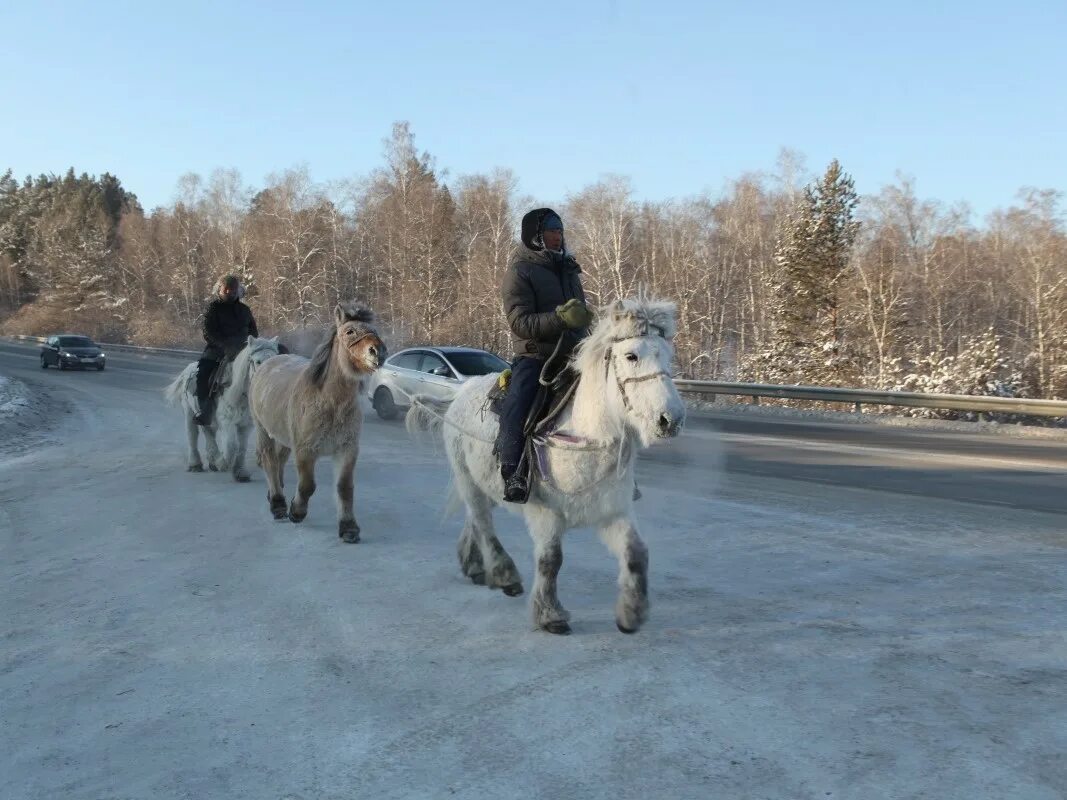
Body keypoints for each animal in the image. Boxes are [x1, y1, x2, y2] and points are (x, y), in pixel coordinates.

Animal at [163, 337, 283, 482]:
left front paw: (240, 472)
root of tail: (188, 369)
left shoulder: (246, 425)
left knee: (209, 433)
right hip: (189, 412)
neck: (235, 390)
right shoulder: (227, 422)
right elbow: (231, 446)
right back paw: (196, 464)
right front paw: (221, 463)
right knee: (192, 435)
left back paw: (212, 459)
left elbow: (242, 447)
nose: (270, 381)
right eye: (258, 361)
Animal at [403, 298, 687, 635]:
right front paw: (551, 615)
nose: (670, 420)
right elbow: (551, 560)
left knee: (475, 518)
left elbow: (636, 554)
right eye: (632, 355)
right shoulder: (545, 513)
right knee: (483, 523)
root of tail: (461, 391)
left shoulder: (611, 511)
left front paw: (632, 613)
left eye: (668, 354)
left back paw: (473, 565)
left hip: (487, 483)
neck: (582, 434)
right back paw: (504, 574)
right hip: (468, 479)